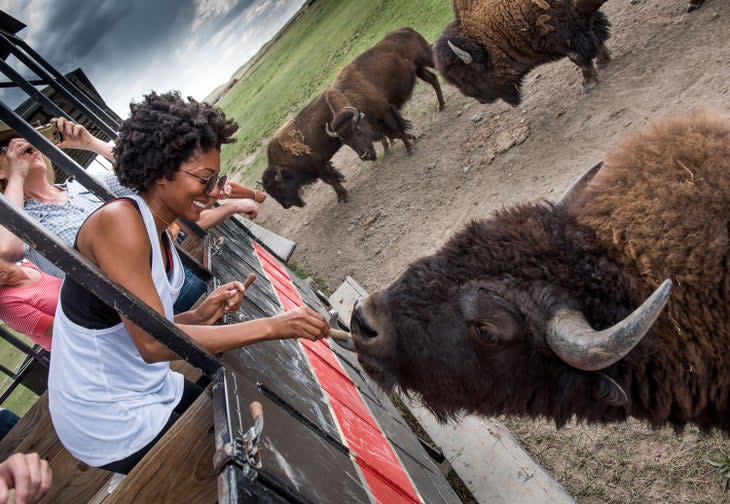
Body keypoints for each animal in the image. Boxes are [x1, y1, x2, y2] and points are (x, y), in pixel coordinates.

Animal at [262, 27, 444, 209]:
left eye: (280, 186)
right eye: (344, 141)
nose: (286, 205)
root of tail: (406, 29)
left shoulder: (384, 113)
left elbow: (396, 131)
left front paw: (410, 148)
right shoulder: (375, 122)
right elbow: (393, 132)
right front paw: (410, 139)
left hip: (427, 59)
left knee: (436, 75)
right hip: (418, 69)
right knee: (432, 79)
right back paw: (440, 107)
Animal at [436, 0, 612, 106]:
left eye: (465, 77)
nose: (479, 99)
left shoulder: (564, 36)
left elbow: (578, 58)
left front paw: (588, 85)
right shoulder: (581, 19)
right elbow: (596, 36)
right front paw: (603, 61)